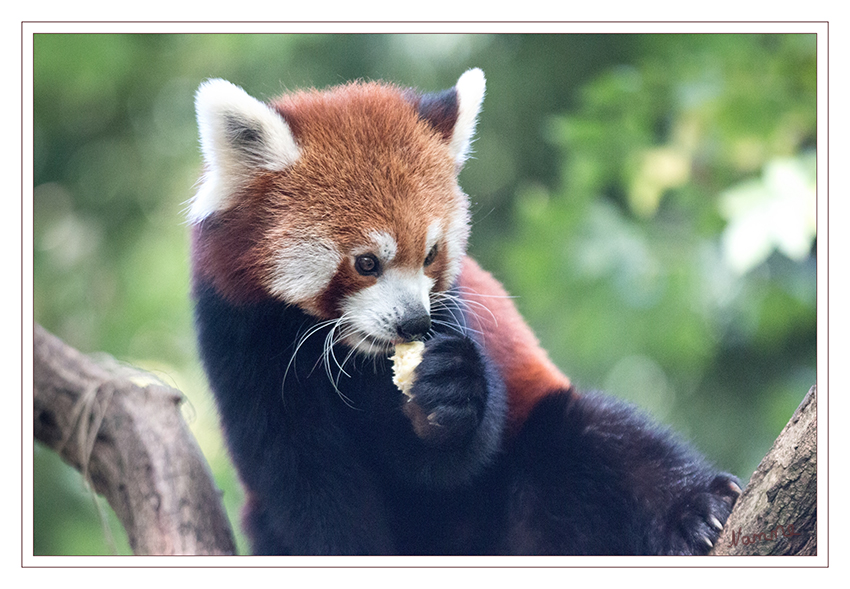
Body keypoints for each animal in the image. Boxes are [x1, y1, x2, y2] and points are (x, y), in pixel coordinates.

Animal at [190, 71, 736, 552]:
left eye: (431, 254)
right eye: (366, 263)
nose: (416, 323)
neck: (351, 357)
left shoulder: (453, 313)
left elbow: (443, 460)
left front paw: (451, 386)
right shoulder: (243, 343)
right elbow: (307, 483)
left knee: (600, 436)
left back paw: (698, 509)